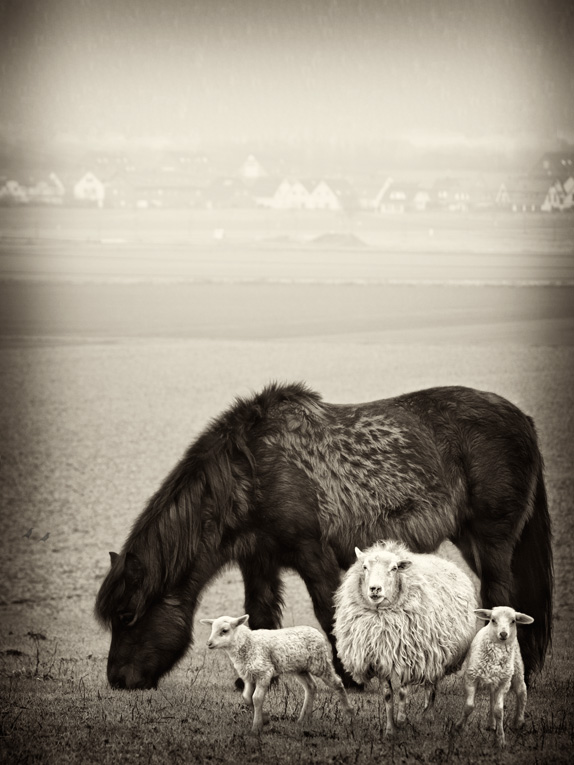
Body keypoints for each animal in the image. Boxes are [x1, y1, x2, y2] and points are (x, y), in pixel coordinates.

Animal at [94, 384, 552, 688]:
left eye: (127, 616)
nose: (117, 680)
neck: (252, 471)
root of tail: (524, 420)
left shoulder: (312, 553)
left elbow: (327, 611)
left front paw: (351, 679)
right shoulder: (258, 560)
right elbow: (258, 616)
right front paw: (254, 683)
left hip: (491, 542)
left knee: (500, 597)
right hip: (473, 541)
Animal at [202, 612, 356, 732]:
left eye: (224, 630)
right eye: (212, 629)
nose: (209, 643)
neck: (248, 643)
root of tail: (315, 631)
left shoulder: (264, 672)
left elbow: (256, 698)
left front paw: (256, 727)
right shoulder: (249, 676)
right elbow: (246, 697)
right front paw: (265, 718)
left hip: (319, 662)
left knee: (337, 683)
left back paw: (349, 714)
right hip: (300, 668)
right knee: (311, 687)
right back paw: (304, 719)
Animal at [336, 536, 480, 736]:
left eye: (394, 568)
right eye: (364, 567)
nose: (375, 589)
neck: (382, 617)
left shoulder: (409, 657)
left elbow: (403, 692)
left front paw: (401, 720)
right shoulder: (379, 659)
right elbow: (388, 695)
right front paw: (390, 729)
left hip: (435, 652)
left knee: (432, 685)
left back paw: (428, 715)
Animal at [456, 608, 536, 748]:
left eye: (513, 621)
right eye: (493, 620)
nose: (503, 634)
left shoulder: (504, 683)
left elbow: (499, 711)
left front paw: (500, 739)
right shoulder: (471, 678)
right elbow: (469, 706)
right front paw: (460, 727)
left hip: (516, 668)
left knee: (522, 691)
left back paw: (518, 721)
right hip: (495, 678)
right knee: (493, 697)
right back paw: (491, 724)